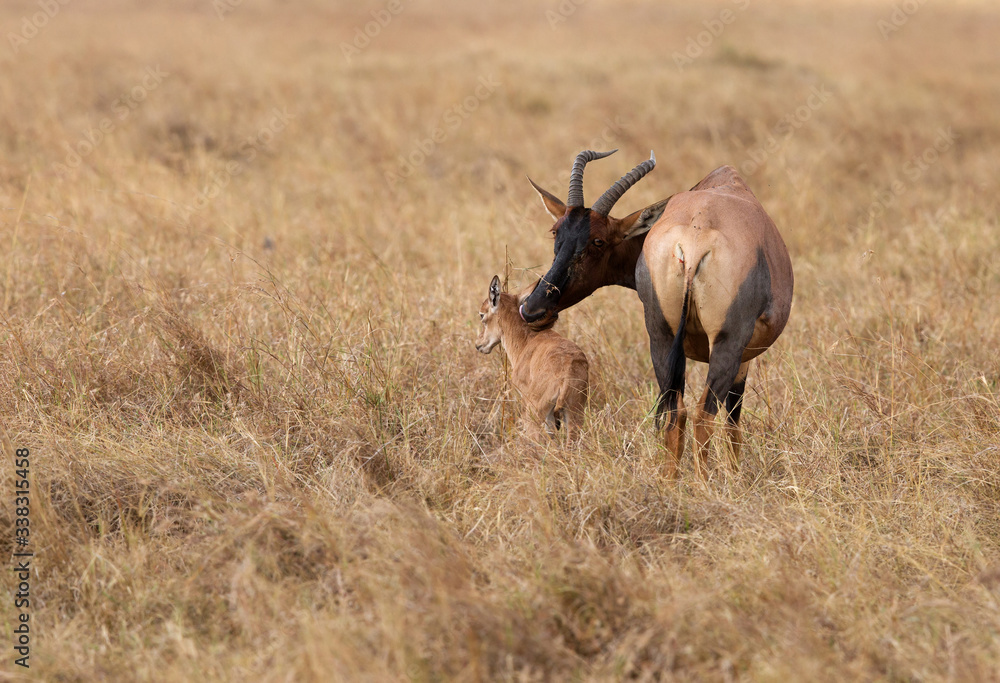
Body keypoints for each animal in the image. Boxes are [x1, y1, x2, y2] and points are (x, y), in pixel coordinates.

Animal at [476, 275, 589, 440]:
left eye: (482, 314)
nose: (479, 344)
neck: (528, 340)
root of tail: (567, 376)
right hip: (574, 416)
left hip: (535, 415)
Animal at [519, 150, 793, 478]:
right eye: (556, 232)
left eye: (598, 240)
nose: (531, 309)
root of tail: (695, 239)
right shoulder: (743, 357)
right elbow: (733, 420)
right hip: (726, 344)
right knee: (703, 415)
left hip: (660, 336)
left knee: (676, 413)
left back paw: (669, 482)